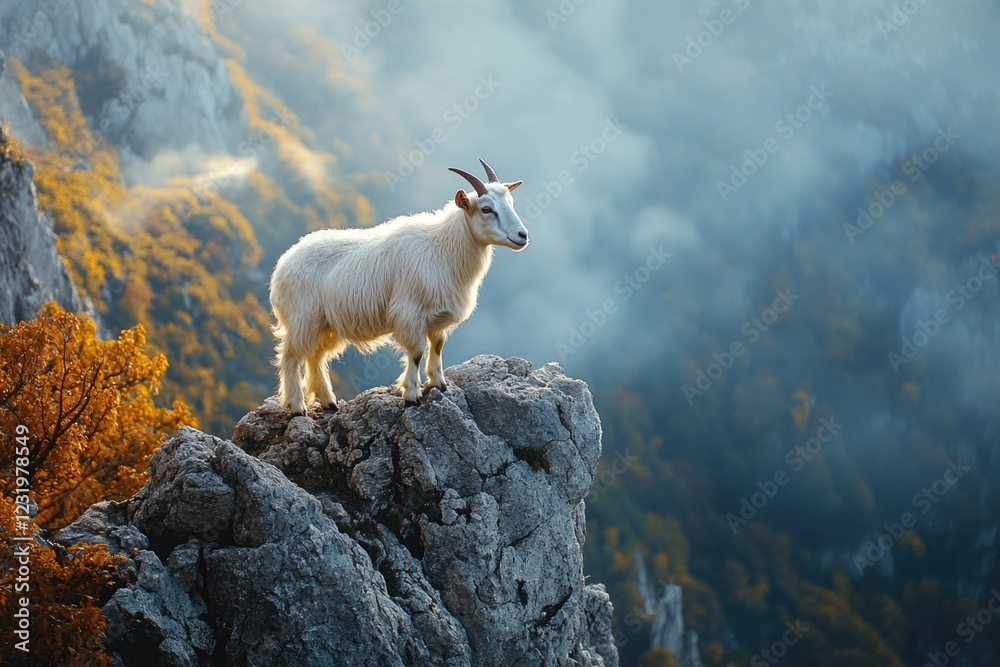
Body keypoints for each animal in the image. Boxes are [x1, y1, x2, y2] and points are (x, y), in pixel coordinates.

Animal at [269, 159, 528, 415]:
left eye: (511, 202)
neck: (443, 248)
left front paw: (439, 384)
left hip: (325, 323)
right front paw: (412, 395)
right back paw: (297, 406)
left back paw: (328, 402)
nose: (522, 235)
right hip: (303, 319)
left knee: (315, 357)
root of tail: (283, 264)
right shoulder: (410, 313)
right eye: (486, 209)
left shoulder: (438, 316)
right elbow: (417, 353)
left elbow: (437, 347)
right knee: (290, 357)